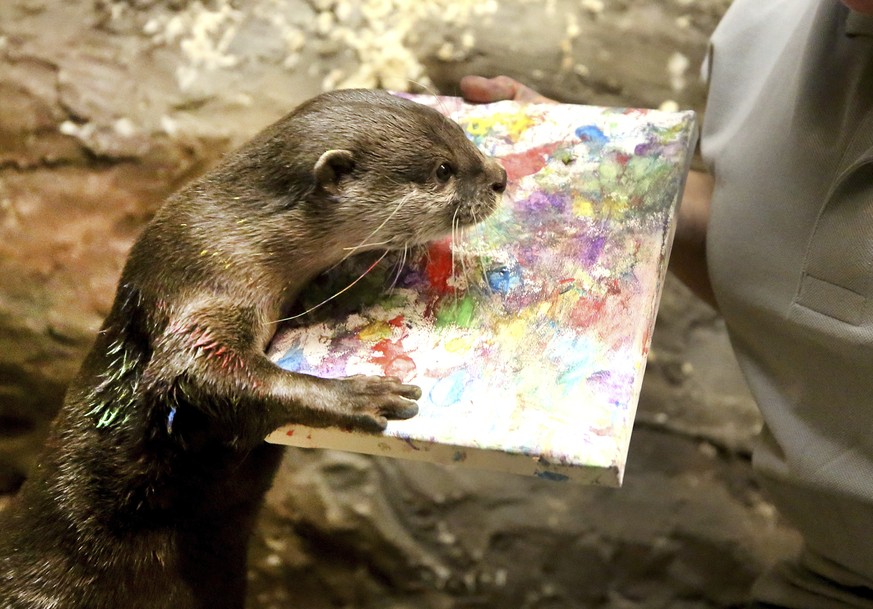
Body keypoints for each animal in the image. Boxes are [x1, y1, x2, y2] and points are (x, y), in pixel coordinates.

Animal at [0, 89, 504, 608]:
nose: (501, 178)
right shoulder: (205, 277)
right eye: (443, 169)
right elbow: (188, 373)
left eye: (464, 137)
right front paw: (357, 394)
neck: (240, 236)